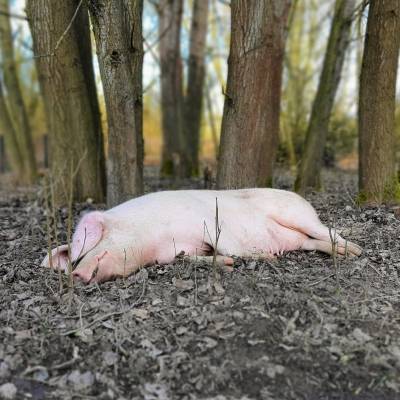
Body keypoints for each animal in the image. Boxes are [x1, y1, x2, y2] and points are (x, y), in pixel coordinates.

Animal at [41, 188, 362, 284]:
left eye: (87, 248)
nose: (75, 273)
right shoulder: (176, 251)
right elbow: (192, 256)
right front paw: (226, 264)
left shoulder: (208, 219)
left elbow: (227, 244)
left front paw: (266, 257)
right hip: (302, 235)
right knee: (313, 242)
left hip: (297, 215)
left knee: (329, 230)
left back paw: (355, 251)